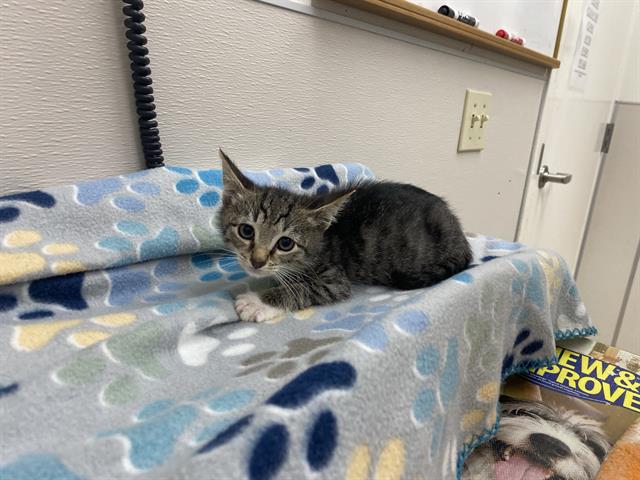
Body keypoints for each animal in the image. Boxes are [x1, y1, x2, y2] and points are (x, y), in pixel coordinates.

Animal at [218, 150, 472, 322]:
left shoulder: (335, 280)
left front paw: (257, 302)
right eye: (246, 231)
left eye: (285, 243)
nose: (257, 262)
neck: (320, 242)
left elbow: (302, 288)